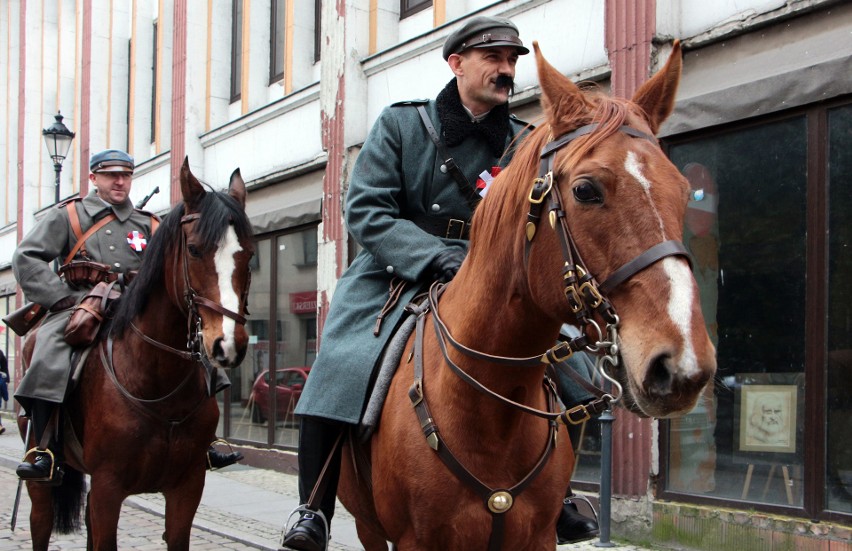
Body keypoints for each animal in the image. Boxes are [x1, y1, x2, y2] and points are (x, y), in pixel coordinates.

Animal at [19, 157, 253, 548]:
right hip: (41, 479)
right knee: (40, 521)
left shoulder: (187, 488)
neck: (159, 383)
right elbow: (29, 256)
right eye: (194, 249)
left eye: (248, 254)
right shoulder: (108, 488)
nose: (228, 343)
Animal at [340, 41, 720, 548]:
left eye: (683, 190)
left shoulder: (538, 536)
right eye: (585, 190)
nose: (682, 366)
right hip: (366, 525)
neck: (490, 407)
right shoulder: (414, 540)